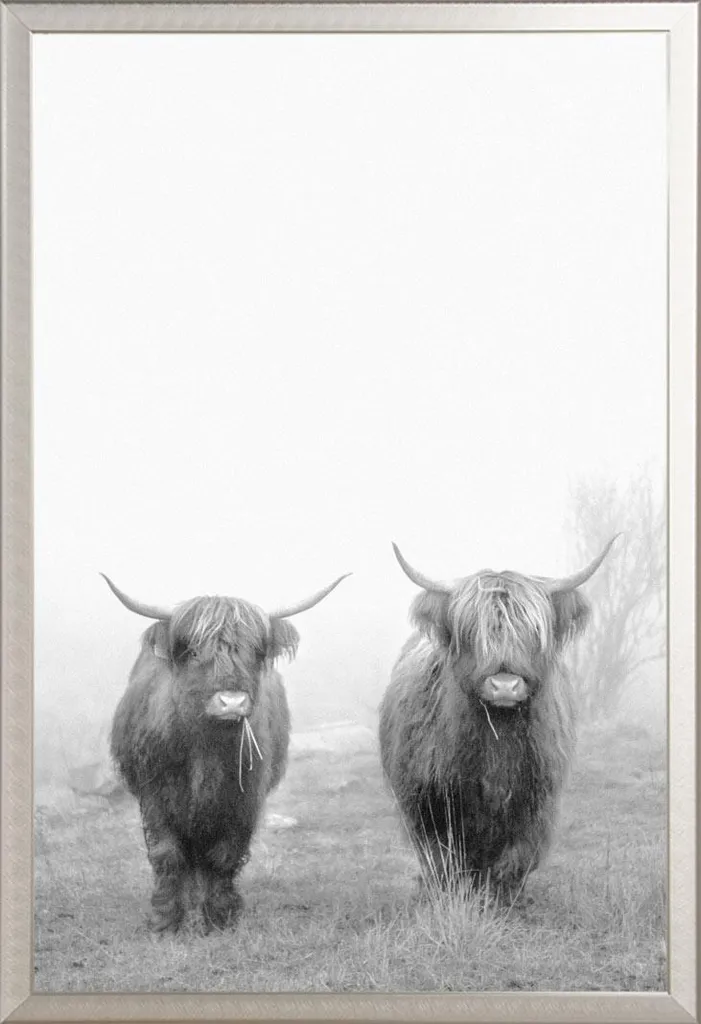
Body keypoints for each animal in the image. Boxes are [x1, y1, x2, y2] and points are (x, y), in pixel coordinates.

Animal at [104, 571, 349, 933]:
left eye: (255, 652)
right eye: (193, 652)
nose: (231, 702)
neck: (206, 750)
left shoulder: (244, 800)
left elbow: (224, 855)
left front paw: (221, 916)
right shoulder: (155, 795)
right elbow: (167, 853)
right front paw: (165, 920)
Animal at [379, 538, 618, 895]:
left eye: (534, 632)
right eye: (469, 632)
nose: (505, 685)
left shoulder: (536, 801)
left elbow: (517, 857)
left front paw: (503, 895)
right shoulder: (428, 802)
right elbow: (443, 858)